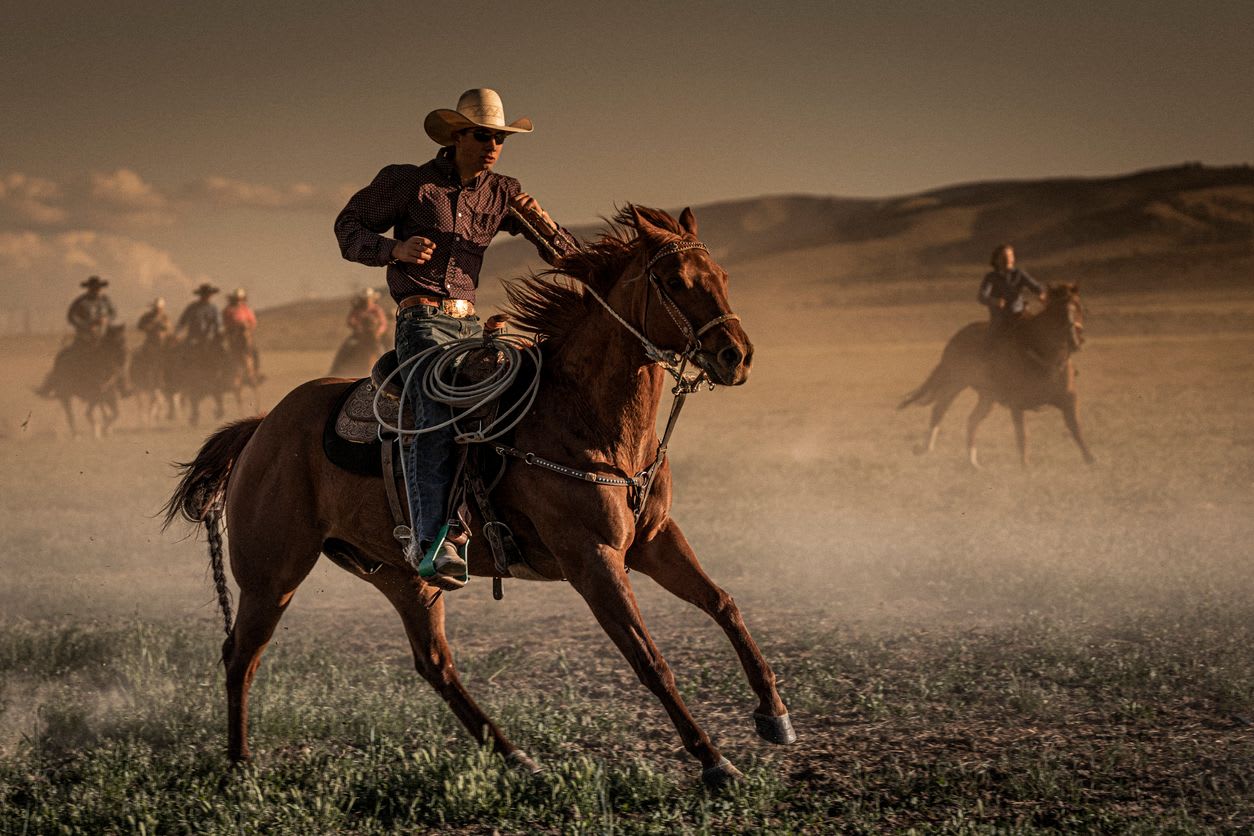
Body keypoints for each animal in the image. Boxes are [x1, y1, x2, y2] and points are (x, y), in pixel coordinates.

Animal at [164, 205, 792, 787]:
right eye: (677, 280)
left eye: (722, 275)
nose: (737, 356)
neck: (586, 420)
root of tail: (262, 428)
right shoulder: (592, 559)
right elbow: (649, 659)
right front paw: (714, 761)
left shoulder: (654, 539)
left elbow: (724, 604)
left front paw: (774, 714)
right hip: (272, 575)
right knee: (241, 655)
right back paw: (240, 763)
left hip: (403, 576)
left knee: (434, 664)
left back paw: (516, 757)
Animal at [897, 283, 1093, 468]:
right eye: (1056, 310)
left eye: (1079, 307)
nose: (1075, 340)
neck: (1044, 356)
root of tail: (956, 338)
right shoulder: (1017, 404)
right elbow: (1022, 434)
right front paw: (1025, 466)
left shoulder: (1068, 398)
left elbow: (1076, 428)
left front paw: (1091, 460)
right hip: (955, 383)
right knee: (939, 410)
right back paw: (925, 448)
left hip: (987, 396)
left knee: (972, 420)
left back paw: (974, 464)